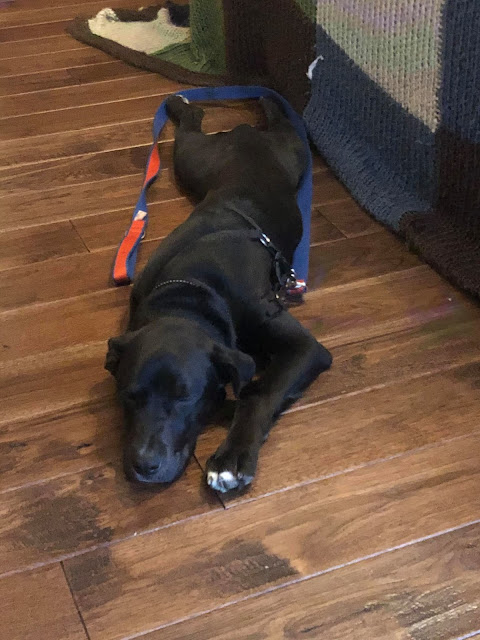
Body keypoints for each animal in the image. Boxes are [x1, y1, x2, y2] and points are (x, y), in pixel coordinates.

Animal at [105, 95, 332, 493]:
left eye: (185, 397)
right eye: (129, 395)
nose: (145, 465)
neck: (189, 292)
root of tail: (244, 134)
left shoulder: (305, 347)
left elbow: (259, 392)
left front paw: (230, 460)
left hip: (284, 153)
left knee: (281, 121)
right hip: (195, 161)